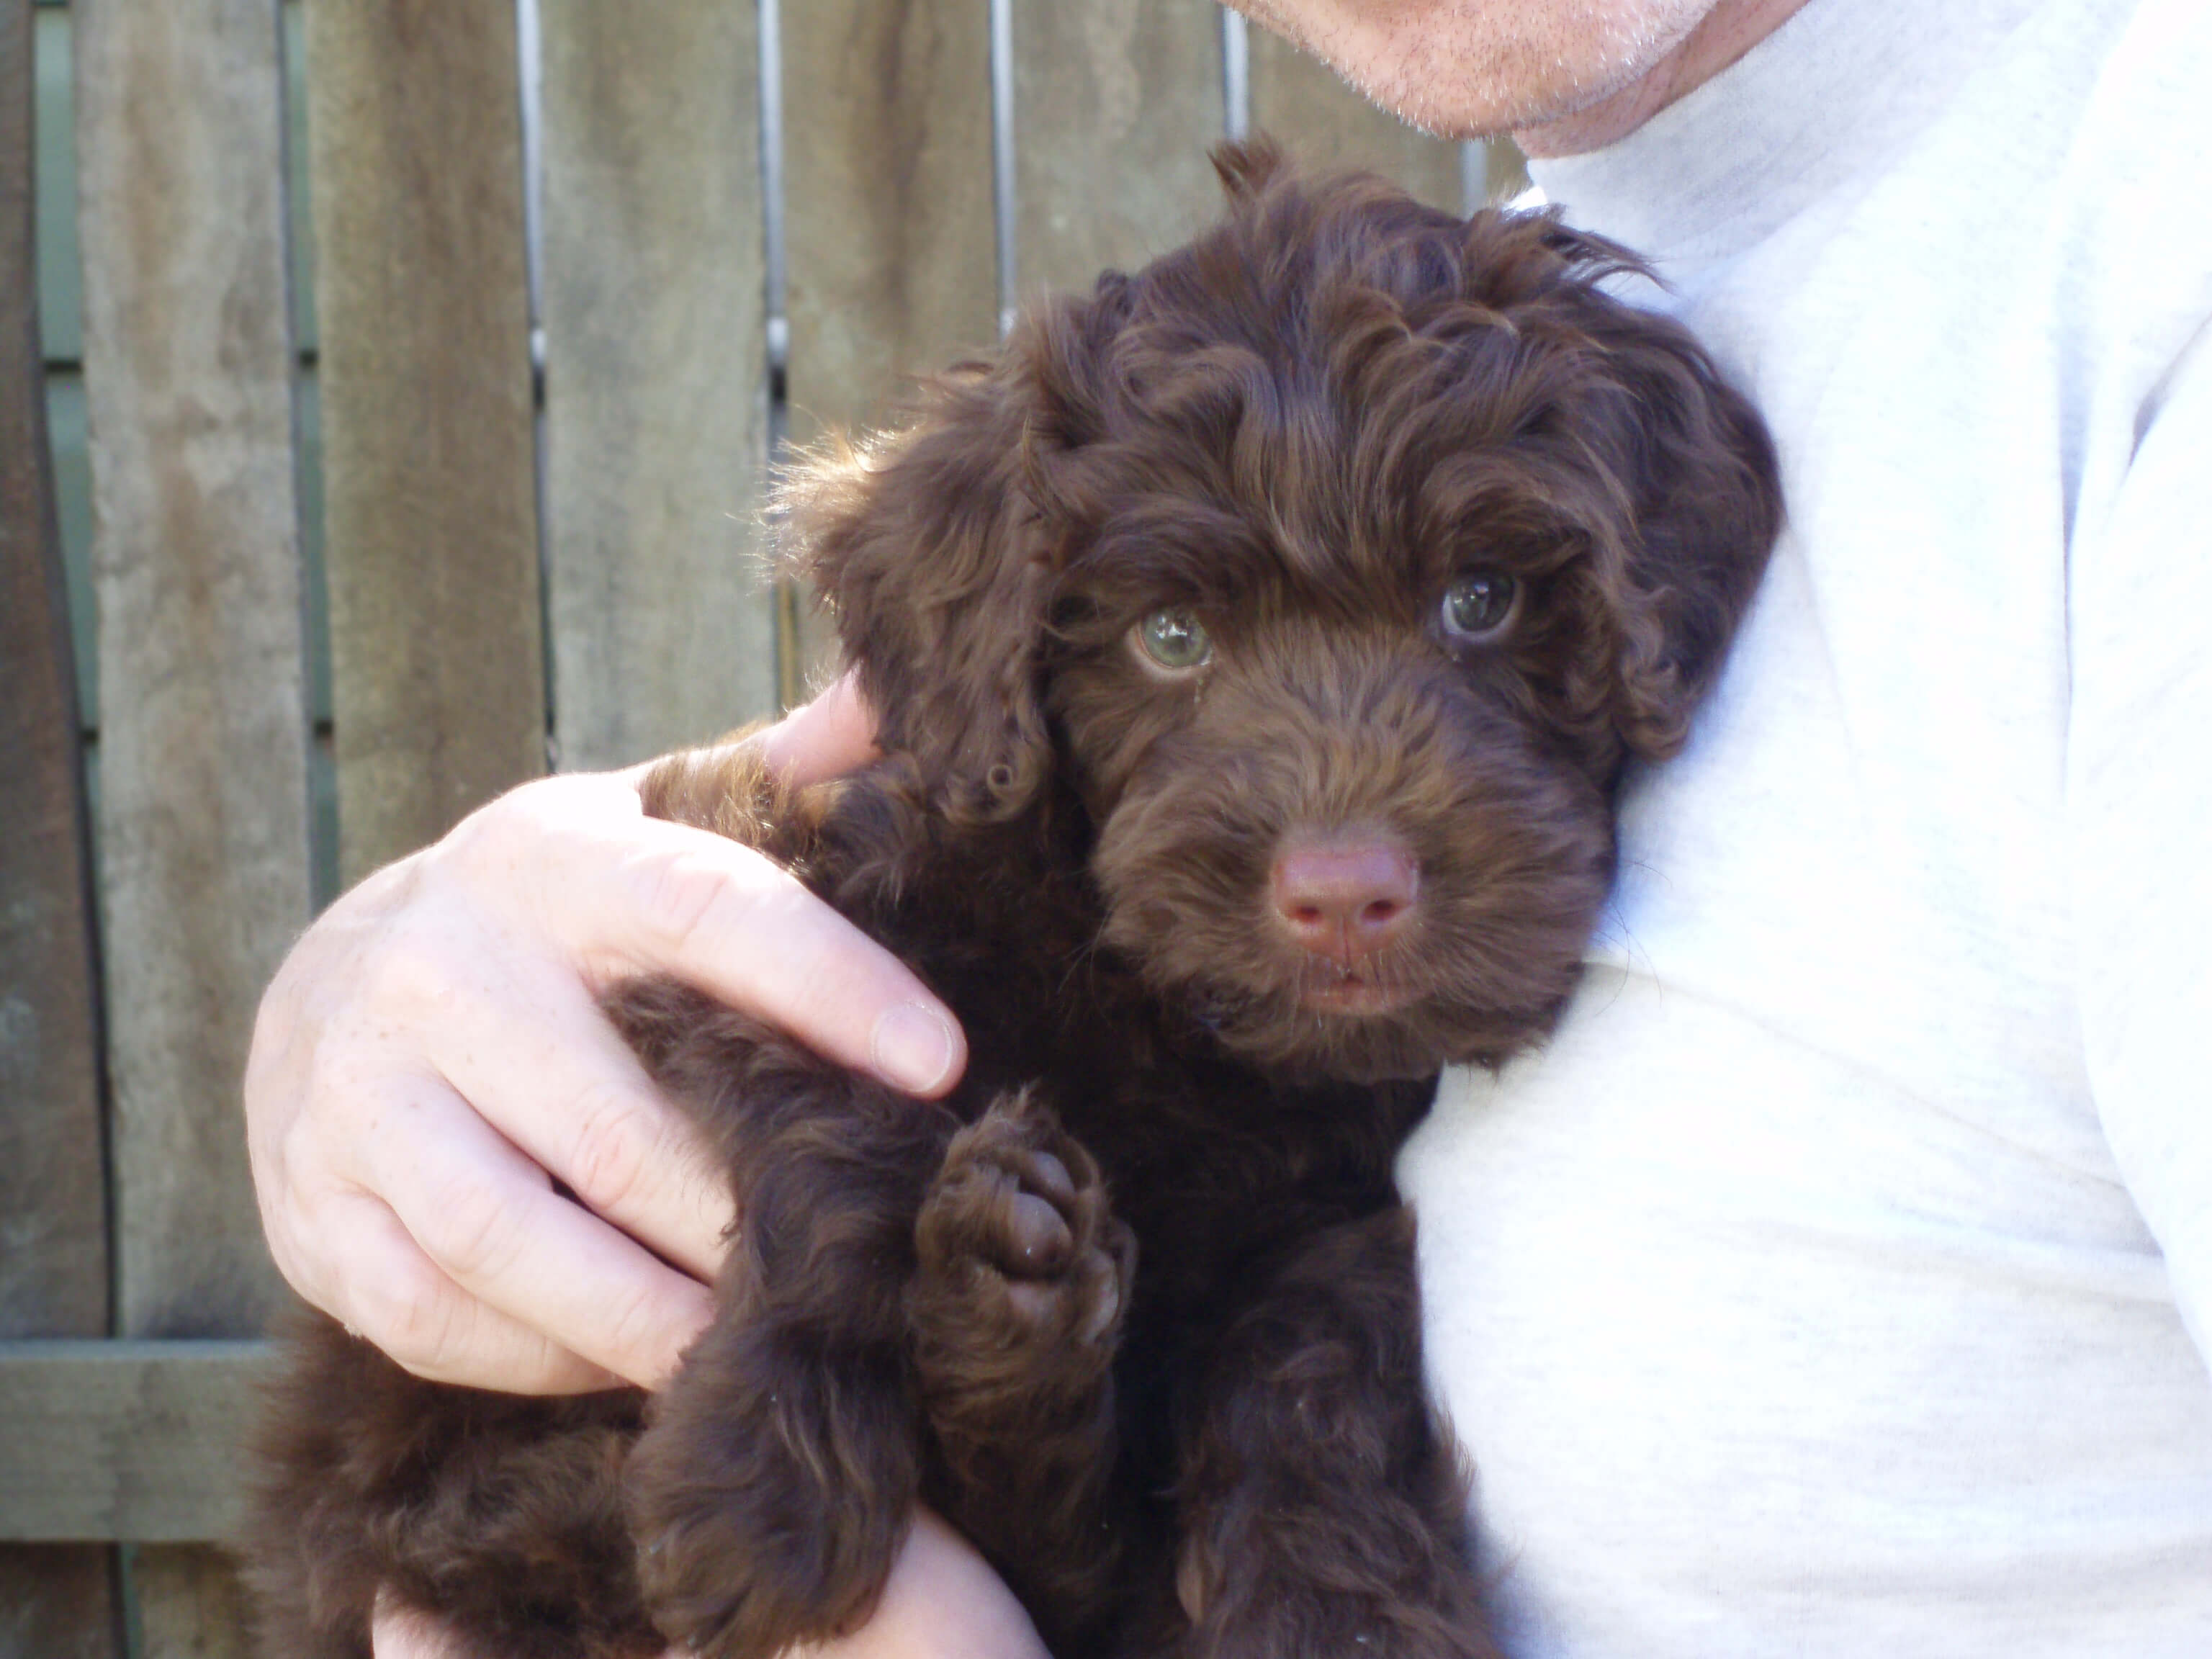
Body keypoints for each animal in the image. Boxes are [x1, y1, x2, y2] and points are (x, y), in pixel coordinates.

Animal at [251, 143, 1787, 1659]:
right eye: (1168, 638)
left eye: (1480, 599)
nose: (1344, 892)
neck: (1163, 1014)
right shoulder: (736, 876)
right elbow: (844, 1132)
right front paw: (764, 1480)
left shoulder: (1333, 1186)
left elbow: (1317, 1334)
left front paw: (1336, 1605)